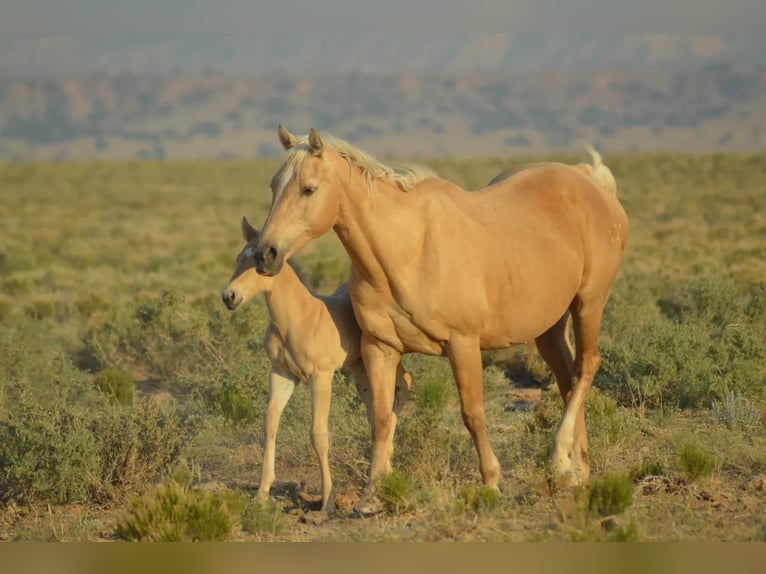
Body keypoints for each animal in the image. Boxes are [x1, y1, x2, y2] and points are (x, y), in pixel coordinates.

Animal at [222, 218, 414, 516]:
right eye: (238, 258)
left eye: (257, 262)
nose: (229, 296)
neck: (299, 319)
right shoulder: (281, 374)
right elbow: (270, 421)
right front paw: (261, 494)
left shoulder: (321, 377)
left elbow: (318, 433)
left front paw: (327, 499)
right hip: (359, 371)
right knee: (376, 411)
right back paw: (385, 472)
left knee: (403, 387)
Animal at [252, 127, 632, 512]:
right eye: (273, 185)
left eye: (308, 188)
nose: (265, 254)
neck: (408, 250)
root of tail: (590, 179)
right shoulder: (379, 348)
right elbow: (380, 418)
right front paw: (372, 494)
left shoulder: (462, 344)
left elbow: (472, 413)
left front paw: (491, 482)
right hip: (549, 327)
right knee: (568, 379)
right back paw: (577, 469)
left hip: (588, 304)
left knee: (586, 368)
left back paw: (558, 458)